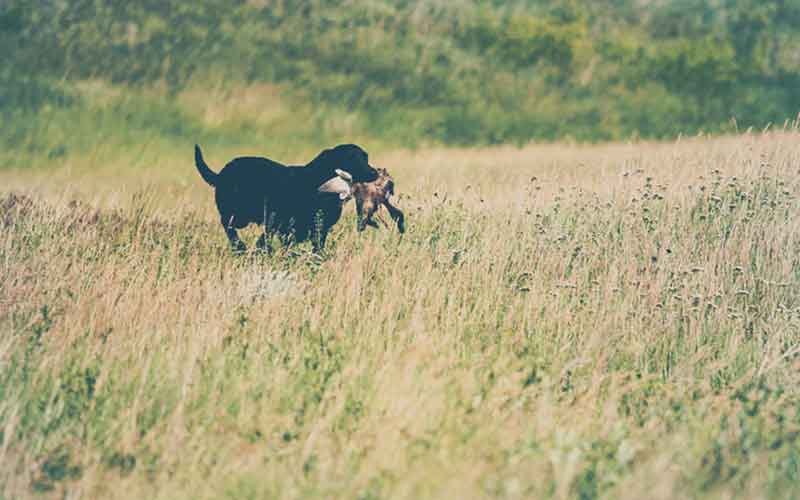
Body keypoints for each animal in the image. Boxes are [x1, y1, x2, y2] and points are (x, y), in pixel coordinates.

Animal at [195, 145, 380, 254]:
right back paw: (239, 246)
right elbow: (267, 240)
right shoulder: (279, 224)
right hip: (237, 214)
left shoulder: (320, 230)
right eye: (352, 158)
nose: (375, 172)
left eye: (366, 157)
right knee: (228, 226)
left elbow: (317, 248)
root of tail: (222, 173)